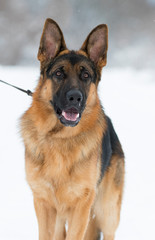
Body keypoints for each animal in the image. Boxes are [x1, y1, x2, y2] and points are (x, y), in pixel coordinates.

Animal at [20, 18, 124, 240]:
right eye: (59, 73)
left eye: (85, 75)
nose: (75, 98)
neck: (60, 139)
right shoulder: (43, 203)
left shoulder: (81, 206)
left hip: (108, 212)